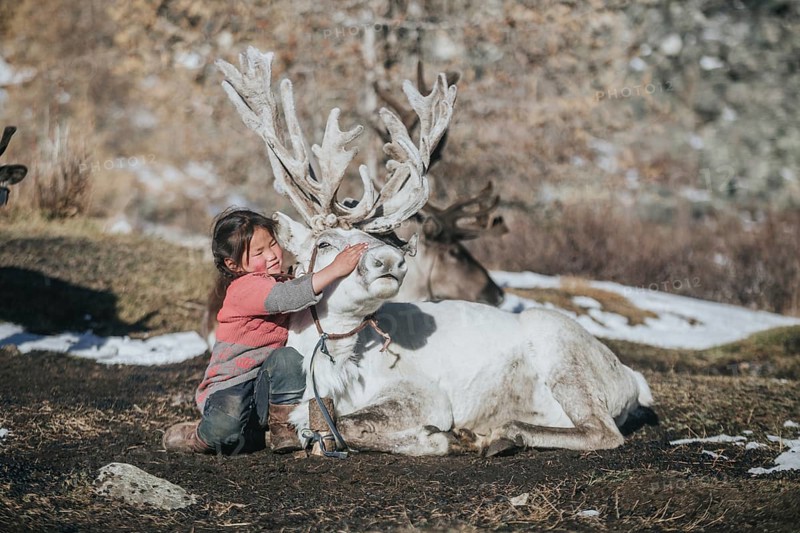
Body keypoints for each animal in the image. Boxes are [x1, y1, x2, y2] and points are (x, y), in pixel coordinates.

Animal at [216, 47, 653, 457]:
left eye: (379, 238)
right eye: (324, 243)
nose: (391, 261)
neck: (332, 364)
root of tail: (630, 377)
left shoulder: (424, 393)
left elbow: (346, 424)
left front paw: (441, 437)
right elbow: (315, 428)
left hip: (565, 358)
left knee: (603, 432)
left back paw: (497, 434)